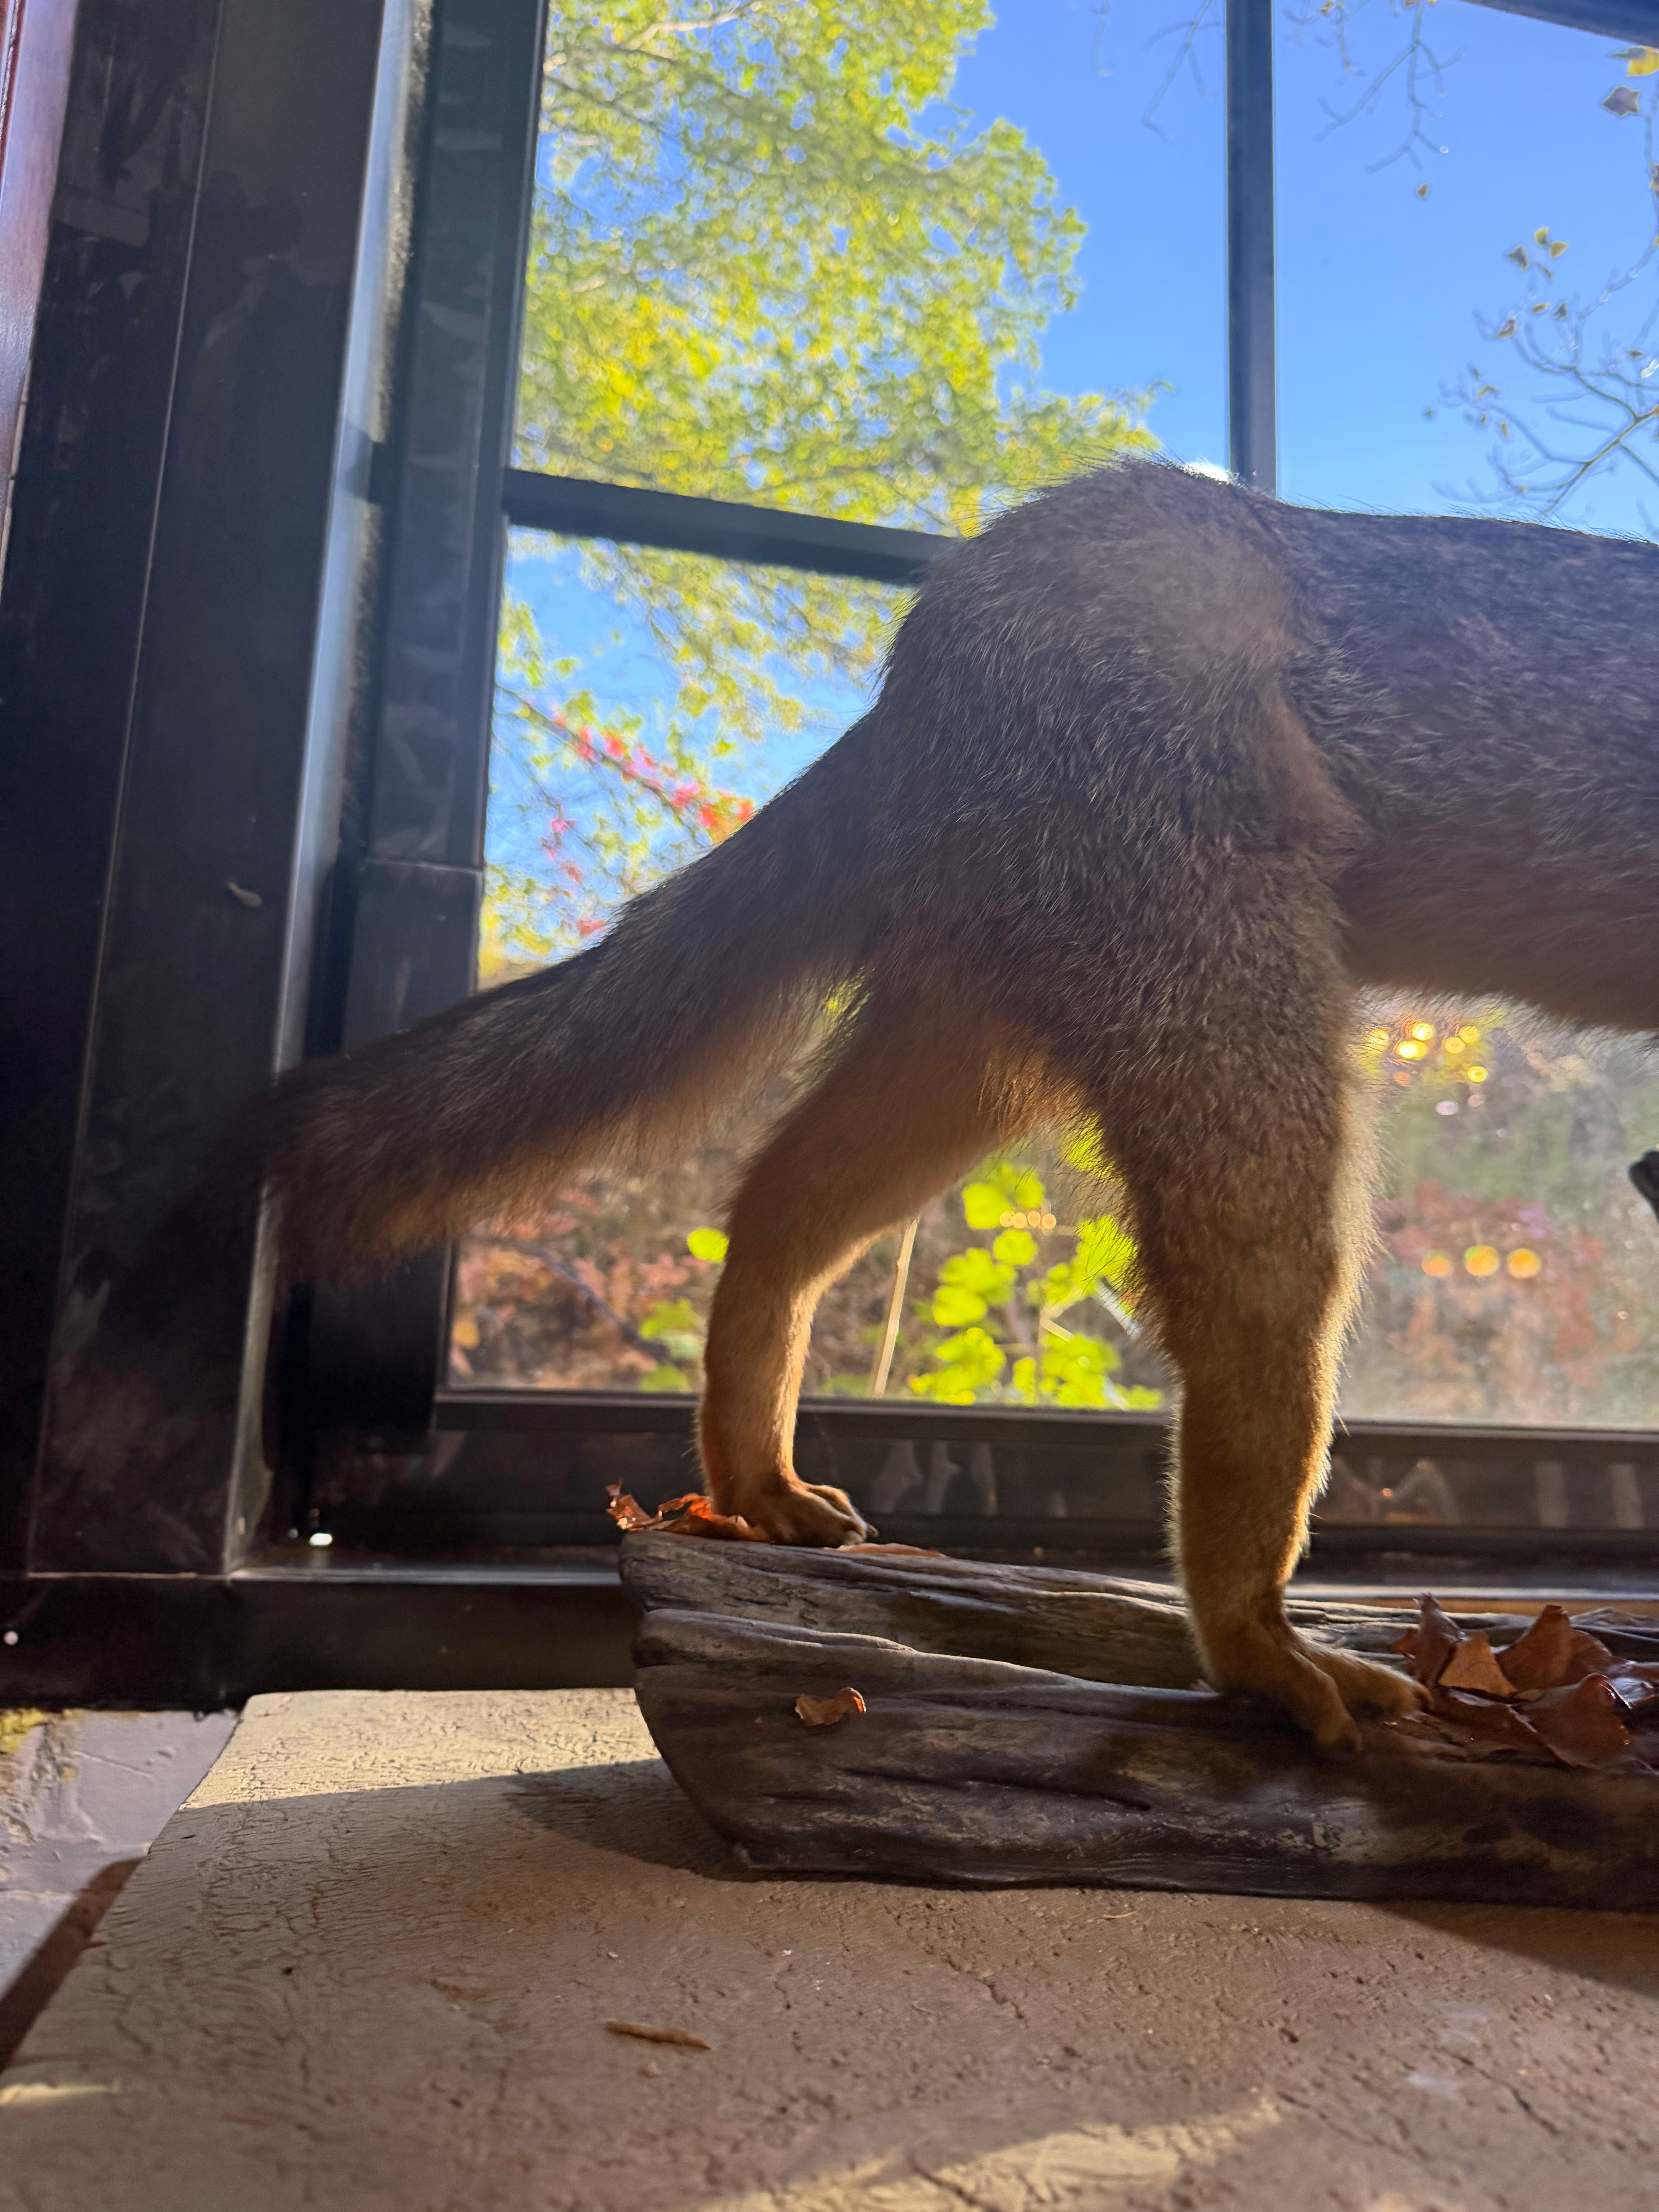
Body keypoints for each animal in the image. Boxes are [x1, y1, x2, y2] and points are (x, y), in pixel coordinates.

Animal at [251, 457, 1659, 1753]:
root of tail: (922, 652)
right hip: (1243, 1093)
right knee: (1237, 1396)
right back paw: (1260, 1646)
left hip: (969, 1069)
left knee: (769, 1212)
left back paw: (754, 1478)